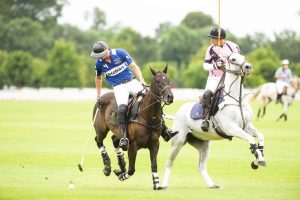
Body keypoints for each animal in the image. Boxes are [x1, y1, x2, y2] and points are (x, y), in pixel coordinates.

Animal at [163, 52, 266, 189]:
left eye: (243, 57)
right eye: (233, 59)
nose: (248, 67)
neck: (237, 100)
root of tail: (177, 114)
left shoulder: (246, 126)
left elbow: (260, 136)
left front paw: (260, 157)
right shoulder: (231, 128)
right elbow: (250, 138)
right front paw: (257, 159)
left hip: (203, 145)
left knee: (201, 166)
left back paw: (212, 184)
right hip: (178, 141)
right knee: (169, 162)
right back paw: (163, 185)